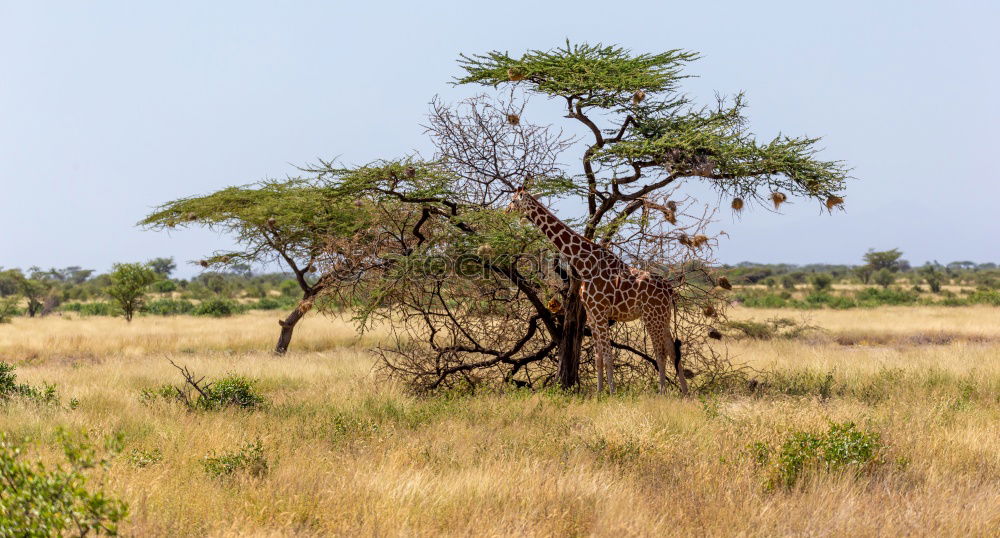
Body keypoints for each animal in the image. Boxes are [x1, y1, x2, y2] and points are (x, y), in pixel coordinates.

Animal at [508, 185, 688, 394]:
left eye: (513, 200)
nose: (506, 211)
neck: (585, 264)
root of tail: (669, 289)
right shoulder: (592, 314)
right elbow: (598, 356)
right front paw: (599, 392)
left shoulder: (601, 312)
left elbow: (608, 354)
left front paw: (612, 392)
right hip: (663, 317)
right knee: (673, 350)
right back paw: (685, 393)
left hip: (652, 316)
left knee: (660, 352)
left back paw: (662, 392)